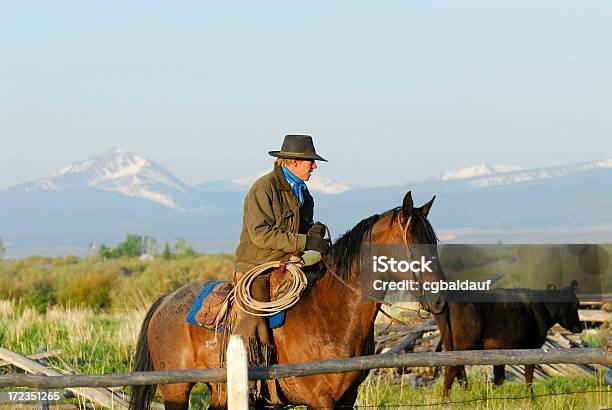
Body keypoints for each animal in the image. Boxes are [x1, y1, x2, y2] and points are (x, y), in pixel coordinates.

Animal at [130, 191, 444, 408]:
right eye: (416, 245)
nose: (440, 299)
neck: (332, 314)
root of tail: (165, 300)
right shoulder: (321, 400)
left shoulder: (347, 397)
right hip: (176, 389)